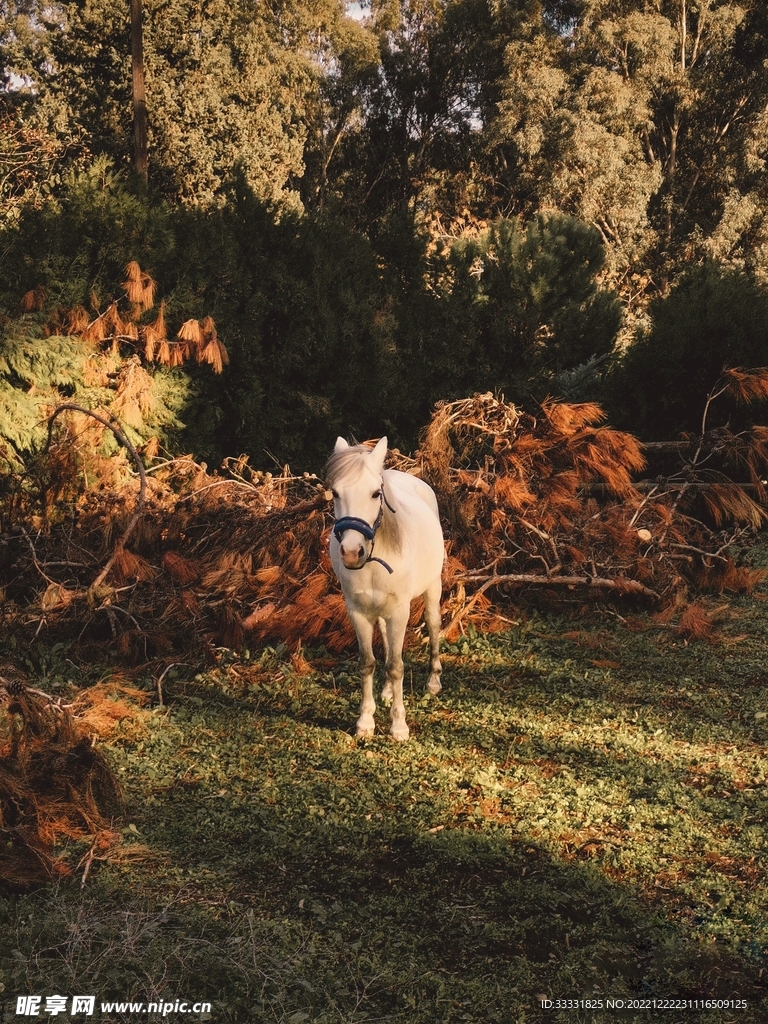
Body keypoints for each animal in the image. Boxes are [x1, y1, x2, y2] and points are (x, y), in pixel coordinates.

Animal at [326, 436, 444, 742]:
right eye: (335, 493)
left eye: (375, 494)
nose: (351, 552)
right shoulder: (357, 612)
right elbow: (369, 662)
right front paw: (365, 722)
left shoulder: (400, 611)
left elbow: (396, 666)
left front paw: (399, 726)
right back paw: (389, 692)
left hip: (432, 587)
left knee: (433, 624)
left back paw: (434, 682)